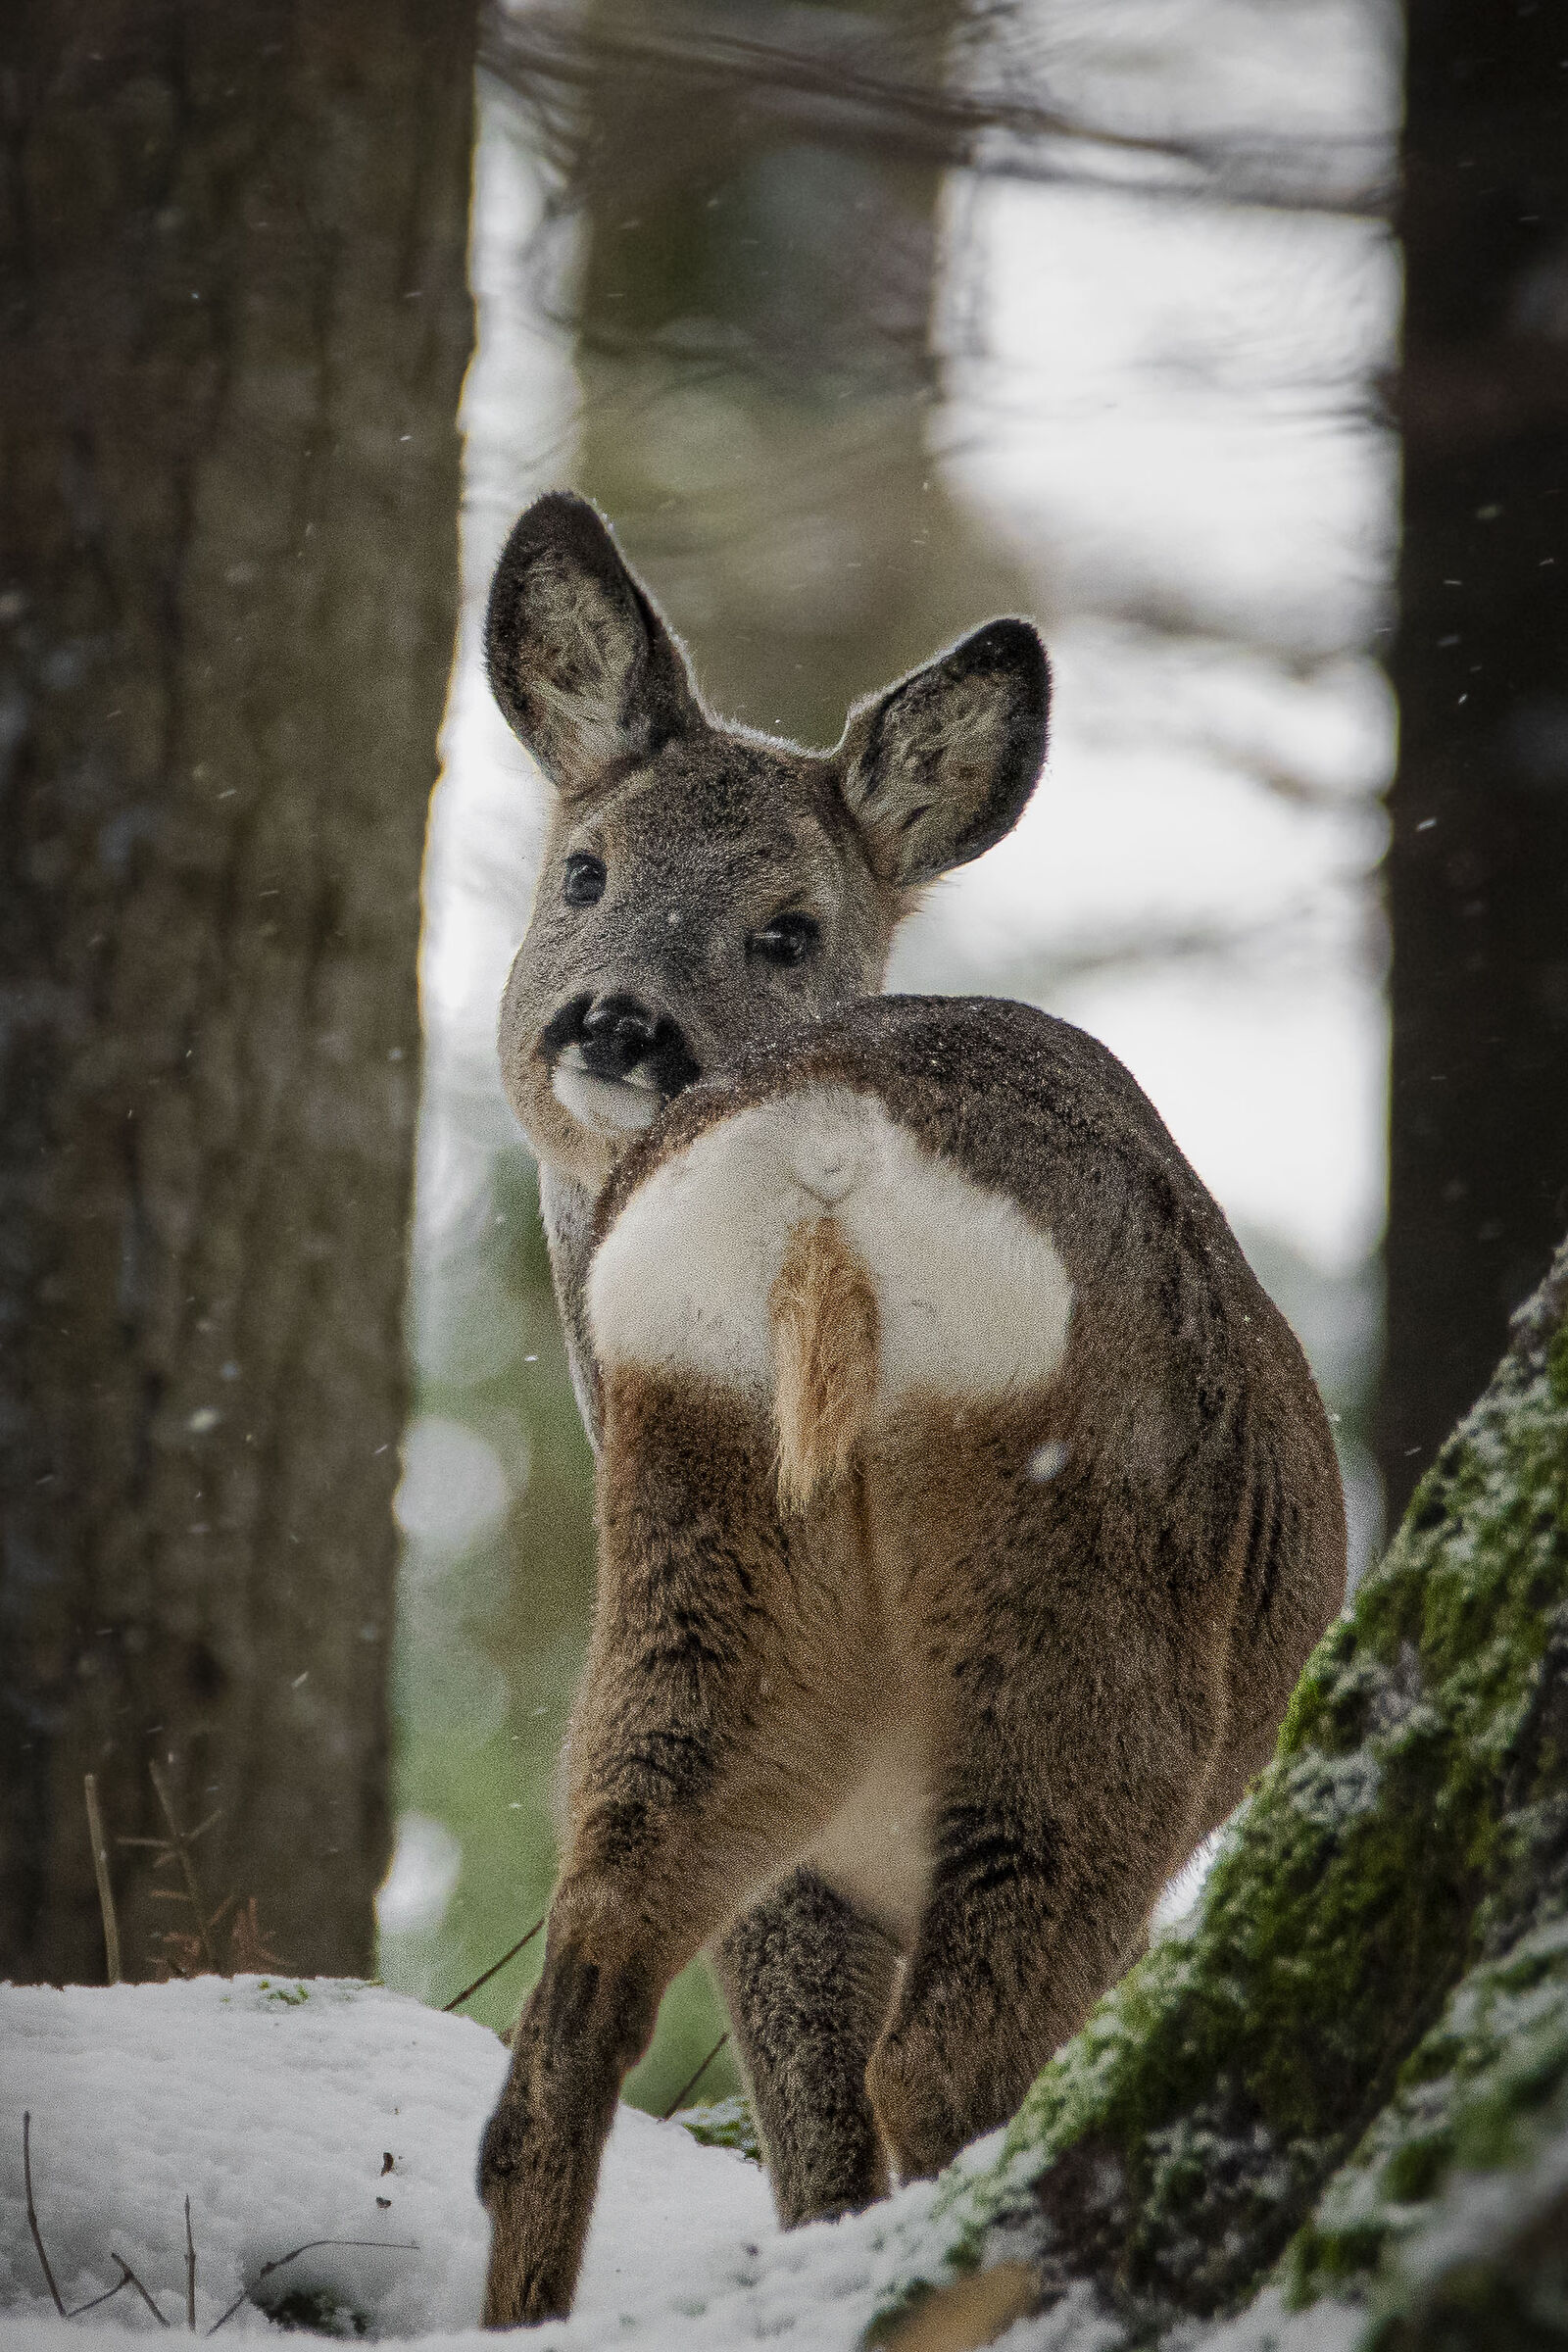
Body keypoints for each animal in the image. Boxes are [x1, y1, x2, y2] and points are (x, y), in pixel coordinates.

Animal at [475, 491, 1347, 2326]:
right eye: (586, 871)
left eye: (788, 925)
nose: (616, 1019)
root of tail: (829, 1169)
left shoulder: (807, 1883)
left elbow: (795, 2104)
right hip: (1087, 1610)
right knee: (960, 2068)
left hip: (706, 1555)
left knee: (571, 2028)